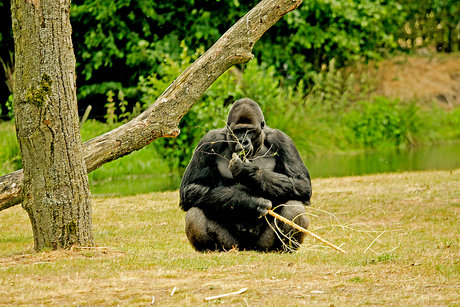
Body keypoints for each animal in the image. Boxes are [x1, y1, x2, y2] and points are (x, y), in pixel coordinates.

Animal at [178, 98, 310, 253]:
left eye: (250, 131)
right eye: (238, 131)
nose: (243, 141)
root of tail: (247, 247)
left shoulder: (282, 139)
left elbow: (301, 183)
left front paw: (246, 170)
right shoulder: (209, 140)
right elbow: (191, 188)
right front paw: (251, 202)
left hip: (263, 246)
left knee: (294, 207)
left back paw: (285, 248)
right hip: (231, 245)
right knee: (195, 211)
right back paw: (209, 249)